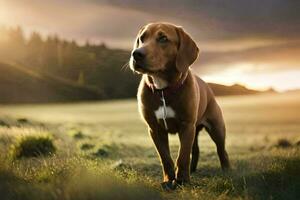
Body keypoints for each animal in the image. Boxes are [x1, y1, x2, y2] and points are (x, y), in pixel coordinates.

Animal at [128, 22, 230, 189]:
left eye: (163, 38)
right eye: (142, 38)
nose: (136, 54)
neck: (163, 90)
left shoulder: (186, 125)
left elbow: (182, 156)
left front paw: (182, 180)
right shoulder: (155, 129)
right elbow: (165, 157)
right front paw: (169, 179)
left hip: (216, 127)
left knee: (221, 150)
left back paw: (227, 170)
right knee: (195, 149)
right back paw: (193, 169)